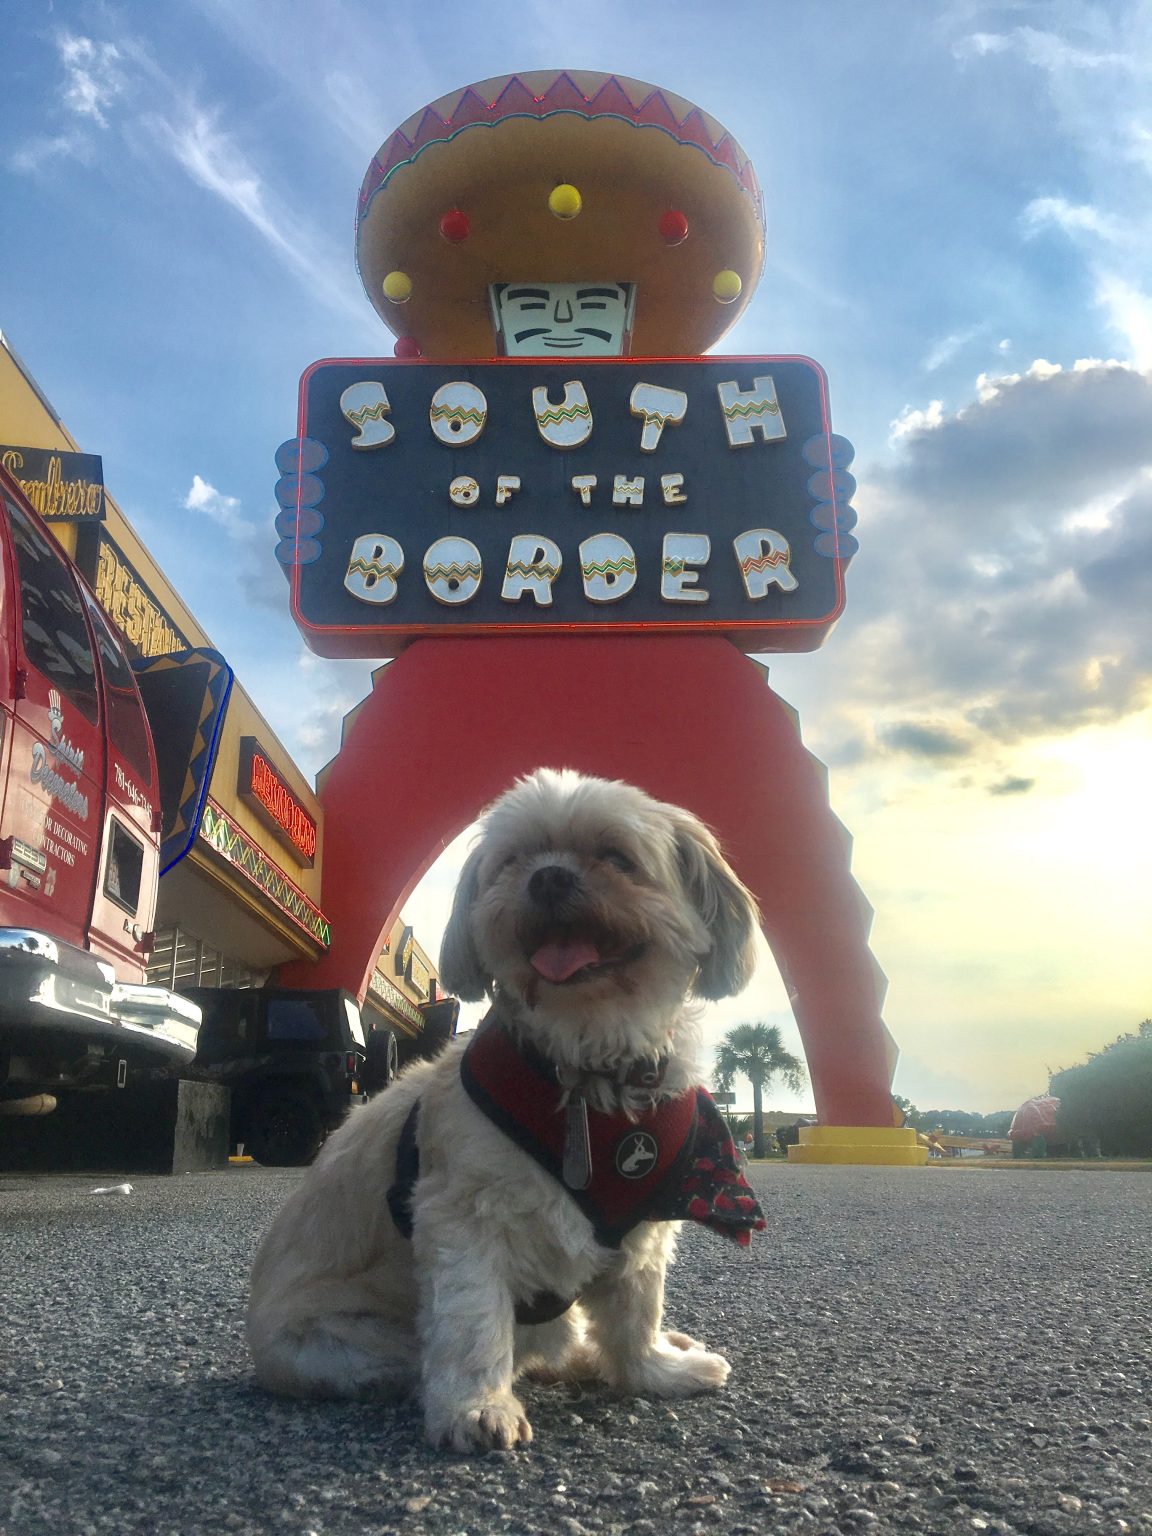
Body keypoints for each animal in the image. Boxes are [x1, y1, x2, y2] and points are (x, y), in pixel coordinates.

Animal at [246, 768, 765, 1452]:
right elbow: (473, 1322)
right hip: (357, 1343)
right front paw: (476, 1408)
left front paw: (654, 1371)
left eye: (615, 857)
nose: (548, 877)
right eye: (515, 860)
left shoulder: (642, 1227)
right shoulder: (464, 1220)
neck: (582, 1074)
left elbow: (635, 1313)